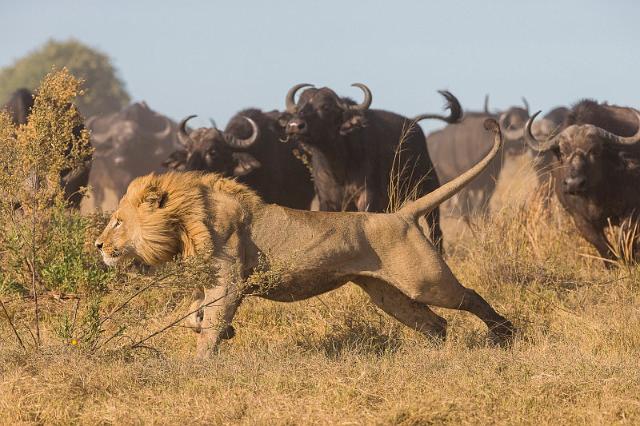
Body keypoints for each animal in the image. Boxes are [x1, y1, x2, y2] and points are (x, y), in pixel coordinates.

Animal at [284, 83, 460, 250]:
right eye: (299, 106)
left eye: (326, 107)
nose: (294, 125)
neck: (339, 167)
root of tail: (414, 123)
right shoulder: (327, 201)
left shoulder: (367, 196)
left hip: (428, 188)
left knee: (436, 230)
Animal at [528, 100, 640, 266]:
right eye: (563, 152)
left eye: (594, 150)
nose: (574, 183)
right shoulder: (580, 220)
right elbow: (604, 248)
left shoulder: (633, 210)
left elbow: (624, 241)